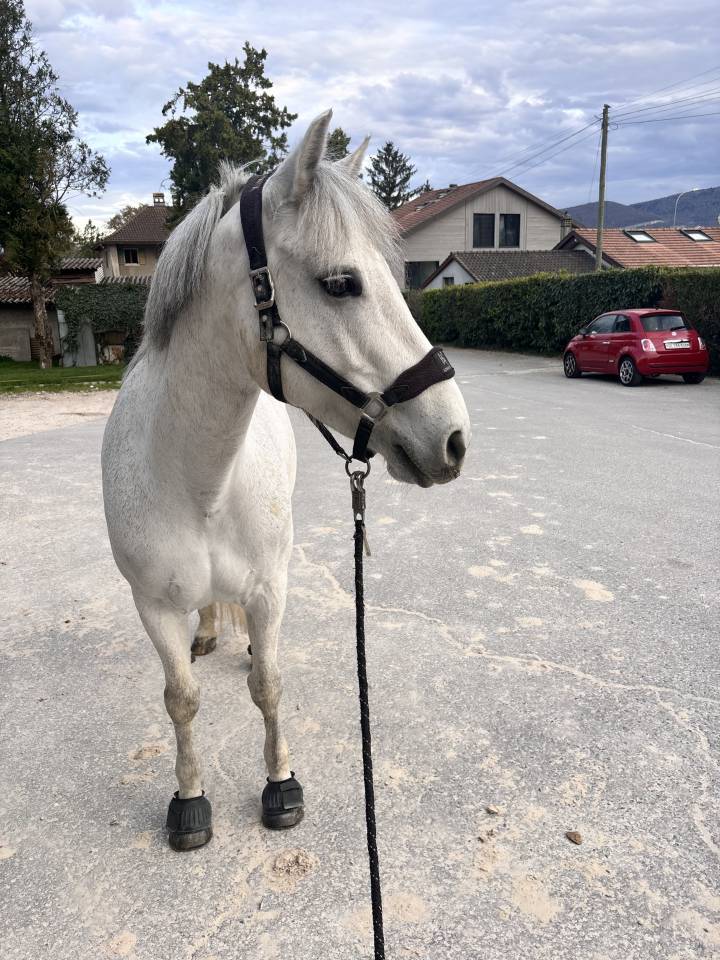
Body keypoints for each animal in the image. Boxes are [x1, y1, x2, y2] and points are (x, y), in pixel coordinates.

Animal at [101, 110, 470, 850]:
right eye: (341, 283)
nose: (453, 438)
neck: (200, 483)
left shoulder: (271, 588)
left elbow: (269, 686)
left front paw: (281, 785)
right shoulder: (150, 605)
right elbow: (180, 699)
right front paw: (189, 799)